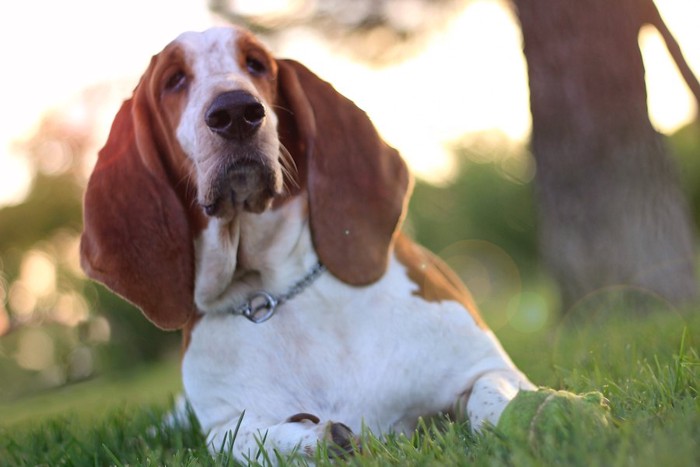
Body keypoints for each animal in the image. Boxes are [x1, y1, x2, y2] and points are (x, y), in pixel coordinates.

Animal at [80, 25, 532, 460]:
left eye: (257, 64)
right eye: (173, 80)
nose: (236, 112)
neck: (273, 291)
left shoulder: (487, 368)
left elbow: (495, 404)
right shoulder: (222, 428)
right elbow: (245, 440)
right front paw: (314, 439)